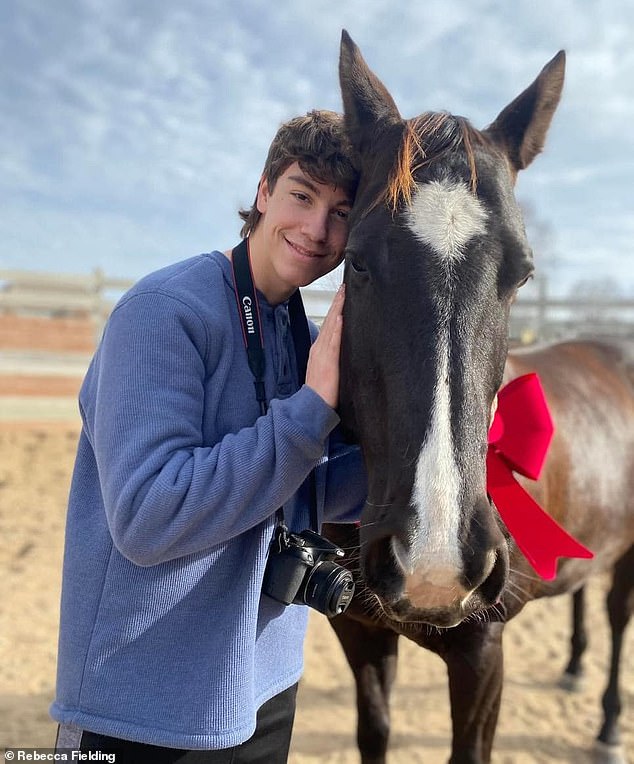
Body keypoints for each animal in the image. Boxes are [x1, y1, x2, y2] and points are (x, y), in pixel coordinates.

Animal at [326, 31, 632, 764]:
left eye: (521, 273)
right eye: (357, 259)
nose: (434, 561)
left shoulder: (482, 654)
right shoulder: (361, 634)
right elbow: (373, 732)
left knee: (617, 616)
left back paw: (610, 723)